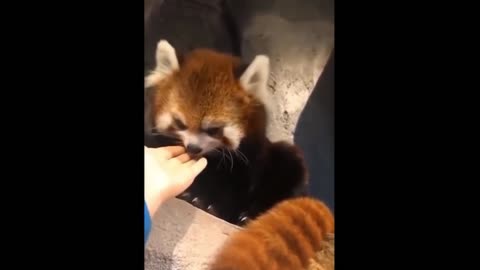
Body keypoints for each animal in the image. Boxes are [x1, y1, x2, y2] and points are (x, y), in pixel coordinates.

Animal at [144, 39, 308, 226]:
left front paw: (210, 205)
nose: (193, 148)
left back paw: (250, 216)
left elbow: (235, 188)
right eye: (179, 123)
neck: (212, 157)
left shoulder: (247, 161)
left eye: (214, 129)